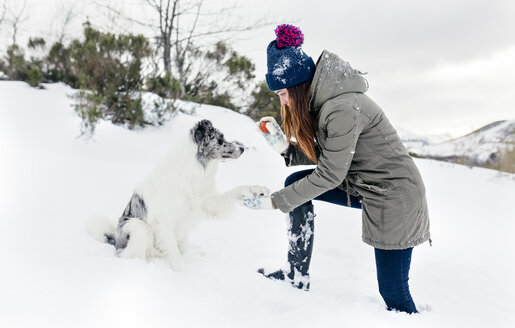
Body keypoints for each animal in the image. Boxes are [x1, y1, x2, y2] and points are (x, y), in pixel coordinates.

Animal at [91, 119, 253, 270]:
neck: (192, 168)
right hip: (137, 226)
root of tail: (115, 240)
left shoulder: (204, 203)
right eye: (220, 139)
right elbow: (174, 252)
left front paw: (251, 190)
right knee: (131, 252)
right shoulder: (165, 220)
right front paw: (181, 271)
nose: (242, 148)